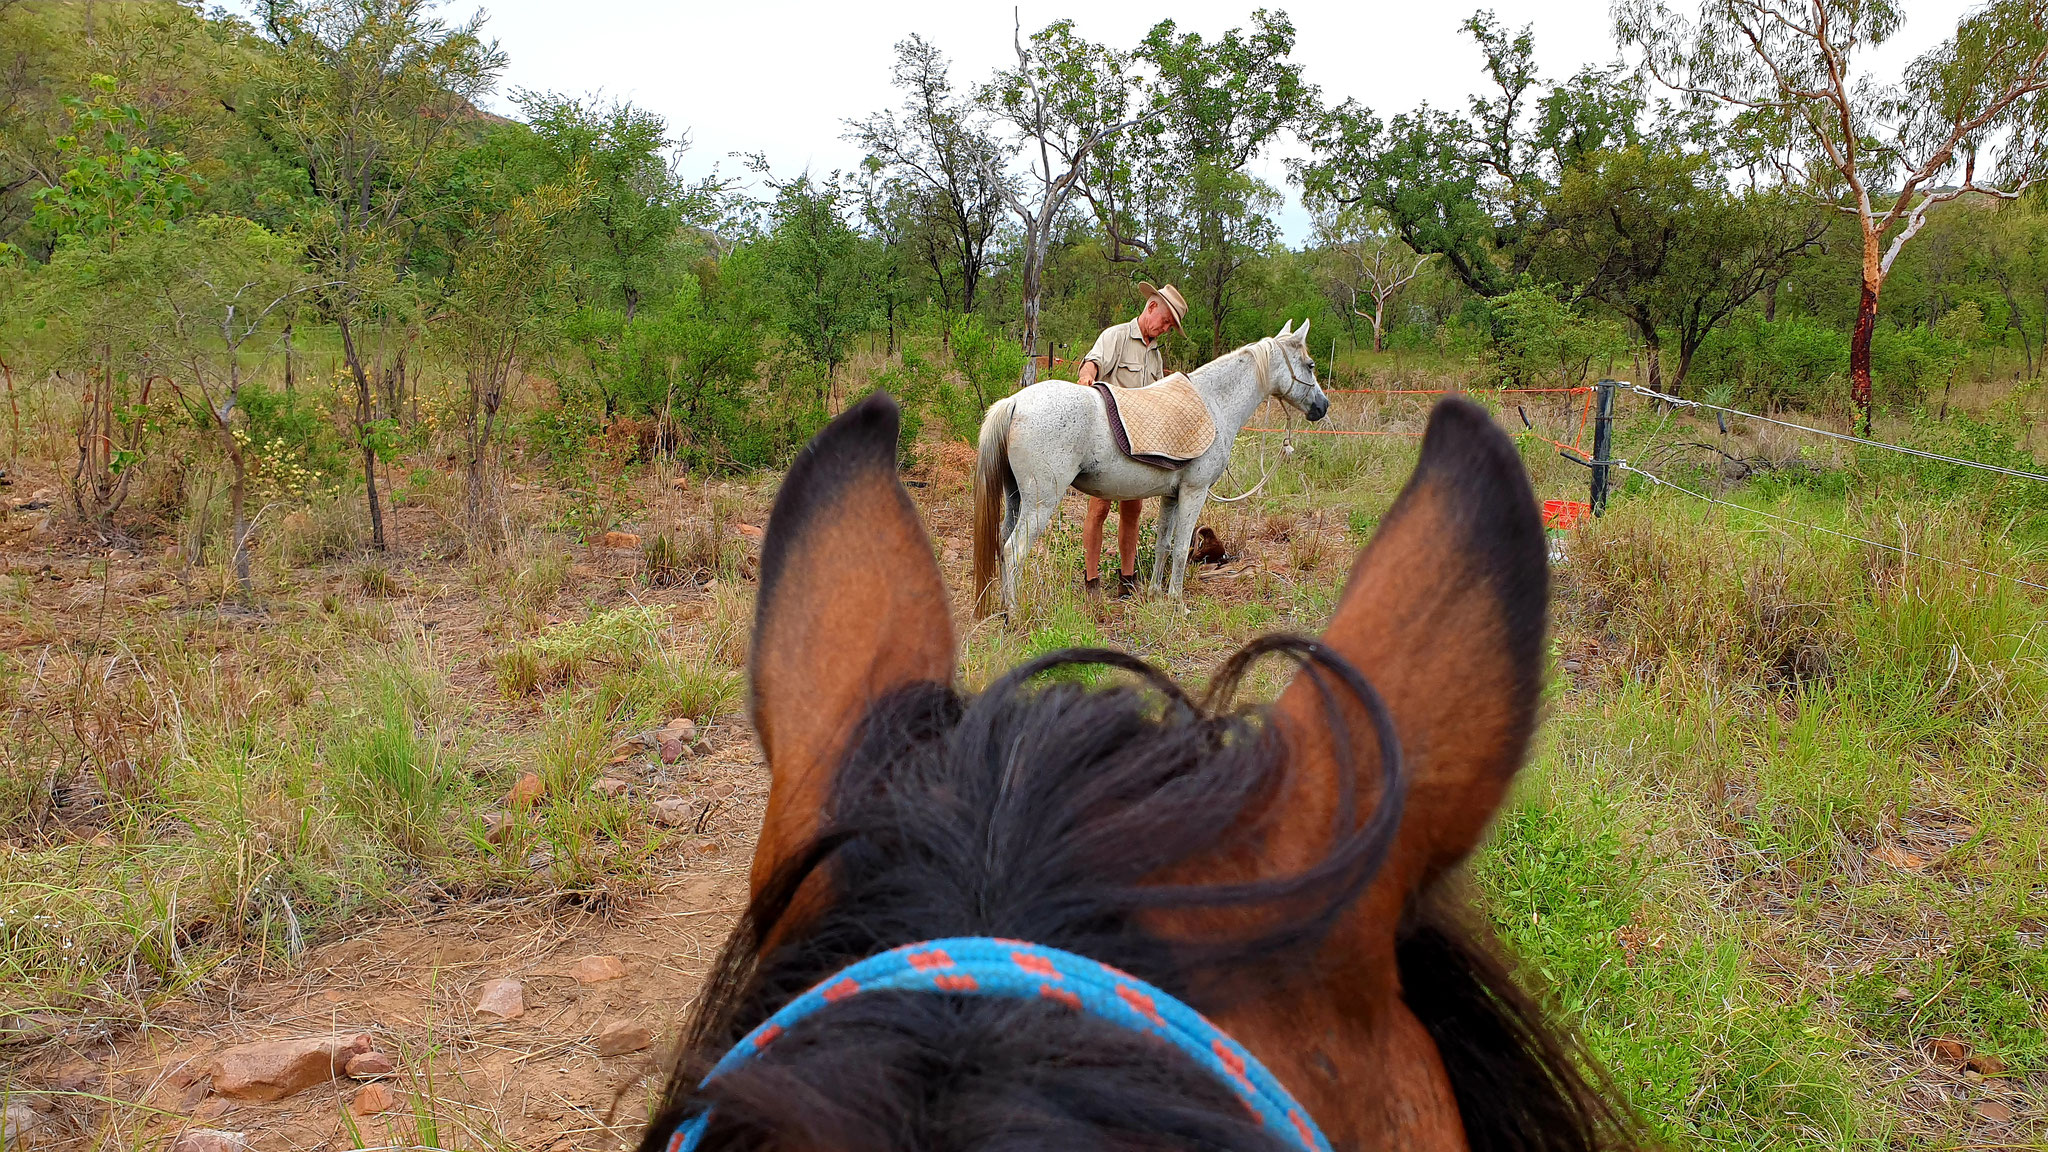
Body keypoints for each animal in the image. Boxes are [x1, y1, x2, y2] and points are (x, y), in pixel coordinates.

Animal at [970, 317, 1327, 614]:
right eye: (1310, 364)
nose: (1322, 407)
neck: (1213, 404)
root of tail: (1015, 401)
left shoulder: (1171, 495)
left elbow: (1163, 545)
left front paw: (1156, 594)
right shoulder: (1194, 492)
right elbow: (1181, 548)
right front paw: (1177, 603)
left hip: (1016, 497)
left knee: (1002, 545)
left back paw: (1002, 608)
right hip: (1041, 502)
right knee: (1013, 551)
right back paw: (1014, 615)